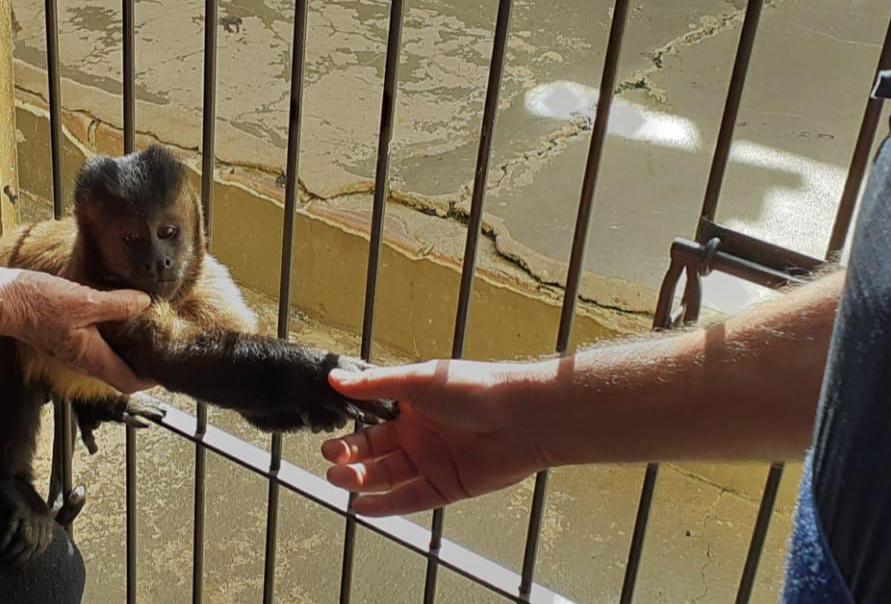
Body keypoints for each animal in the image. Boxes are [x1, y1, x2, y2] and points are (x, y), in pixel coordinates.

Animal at [0, 144, 396, 565]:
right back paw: (18, 488)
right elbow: (169, 356)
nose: (158, 261)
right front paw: (320, 375)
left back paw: (102, 407)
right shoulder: (100, 292)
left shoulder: (210, 283)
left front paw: (320, 407)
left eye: (167, 233)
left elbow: (255, 409)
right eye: (131, 238)